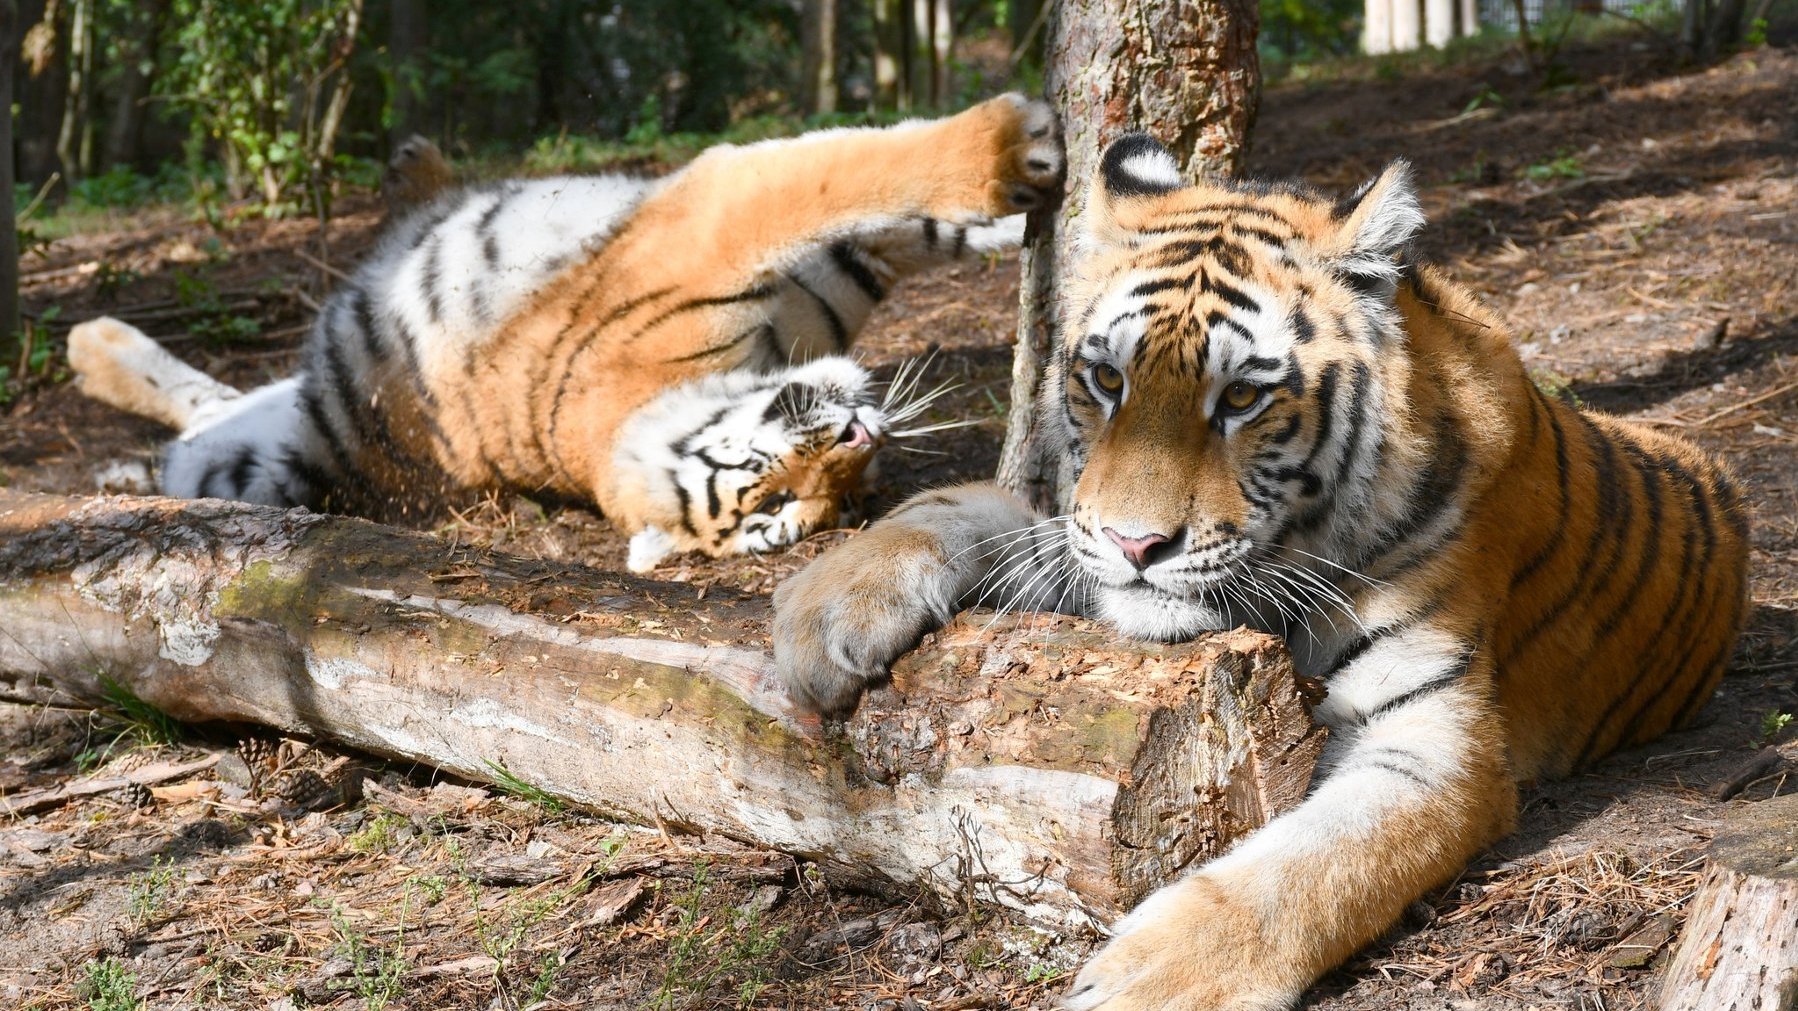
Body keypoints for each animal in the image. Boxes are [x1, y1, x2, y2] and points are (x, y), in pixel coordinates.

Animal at [63, 95, 1057, 572]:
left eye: (845, 505)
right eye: (774, 504)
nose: (857, 438)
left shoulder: (832, 268)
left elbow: (904, 215)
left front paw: (1015, 207)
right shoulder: (705, 225)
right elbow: (841, 171)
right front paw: (1015, 142)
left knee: (222, 393)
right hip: (269, 470)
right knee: (196, 429)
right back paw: (92, 345)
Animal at [769, 135, 1740, 1007]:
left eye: (1241, 396)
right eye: (1107, 378)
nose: (1136, 546)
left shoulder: (1432, 740)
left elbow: (1310, 867)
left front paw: (1150, 979)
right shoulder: (1075, 543)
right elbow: (967, 505)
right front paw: (822, 610)